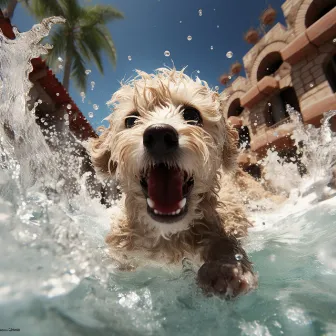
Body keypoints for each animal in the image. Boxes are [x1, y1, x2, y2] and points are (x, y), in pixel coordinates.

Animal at [88, 67, 258, 296]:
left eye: (192, 115)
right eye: (131, 120)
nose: (159, 135)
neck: (168, 236)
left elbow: (223, 241)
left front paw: (225, 267)